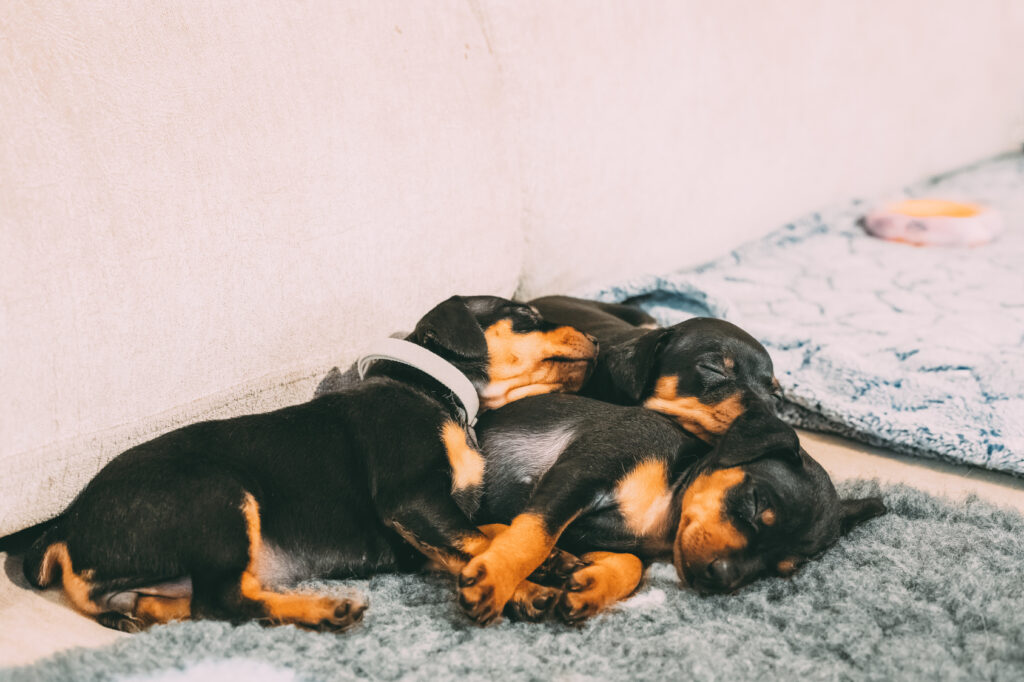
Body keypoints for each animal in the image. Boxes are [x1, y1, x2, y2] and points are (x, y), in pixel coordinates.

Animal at [22, 294, 598, 630]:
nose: (594, 337)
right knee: (223, 602)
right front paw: (515, 587)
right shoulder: (411, 500)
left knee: (193, 602)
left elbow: (491, 529)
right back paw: (326, 610)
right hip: (219, 498)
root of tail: (63, 529)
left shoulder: (430, 520)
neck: (438, 393)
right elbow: (477, 541)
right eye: (525, 317)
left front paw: (558, 561)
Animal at [460, 393, 884, 622]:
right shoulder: (578, 474)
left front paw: (594, 586)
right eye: (754, 503)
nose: (723, 578)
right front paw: (496, 579)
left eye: (780, 569)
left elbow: (632, 564)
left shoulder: (604, 533)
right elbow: (536, 531)